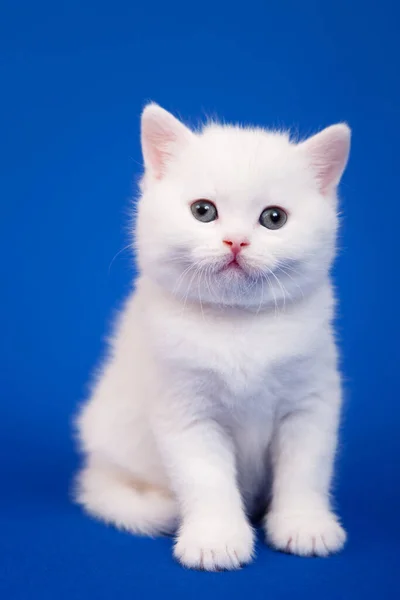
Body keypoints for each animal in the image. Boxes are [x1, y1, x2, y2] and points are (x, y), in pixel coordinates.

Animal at [75, 104, 350, 572]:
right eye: (203, 211)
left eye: (274, 218)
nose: (235, 241)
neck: (238, 324)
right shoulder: (185, 411)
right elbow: (206, 480)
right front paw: (216, 540)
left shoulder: (310, 401)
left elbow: (305, 470)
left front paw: (304, 524)